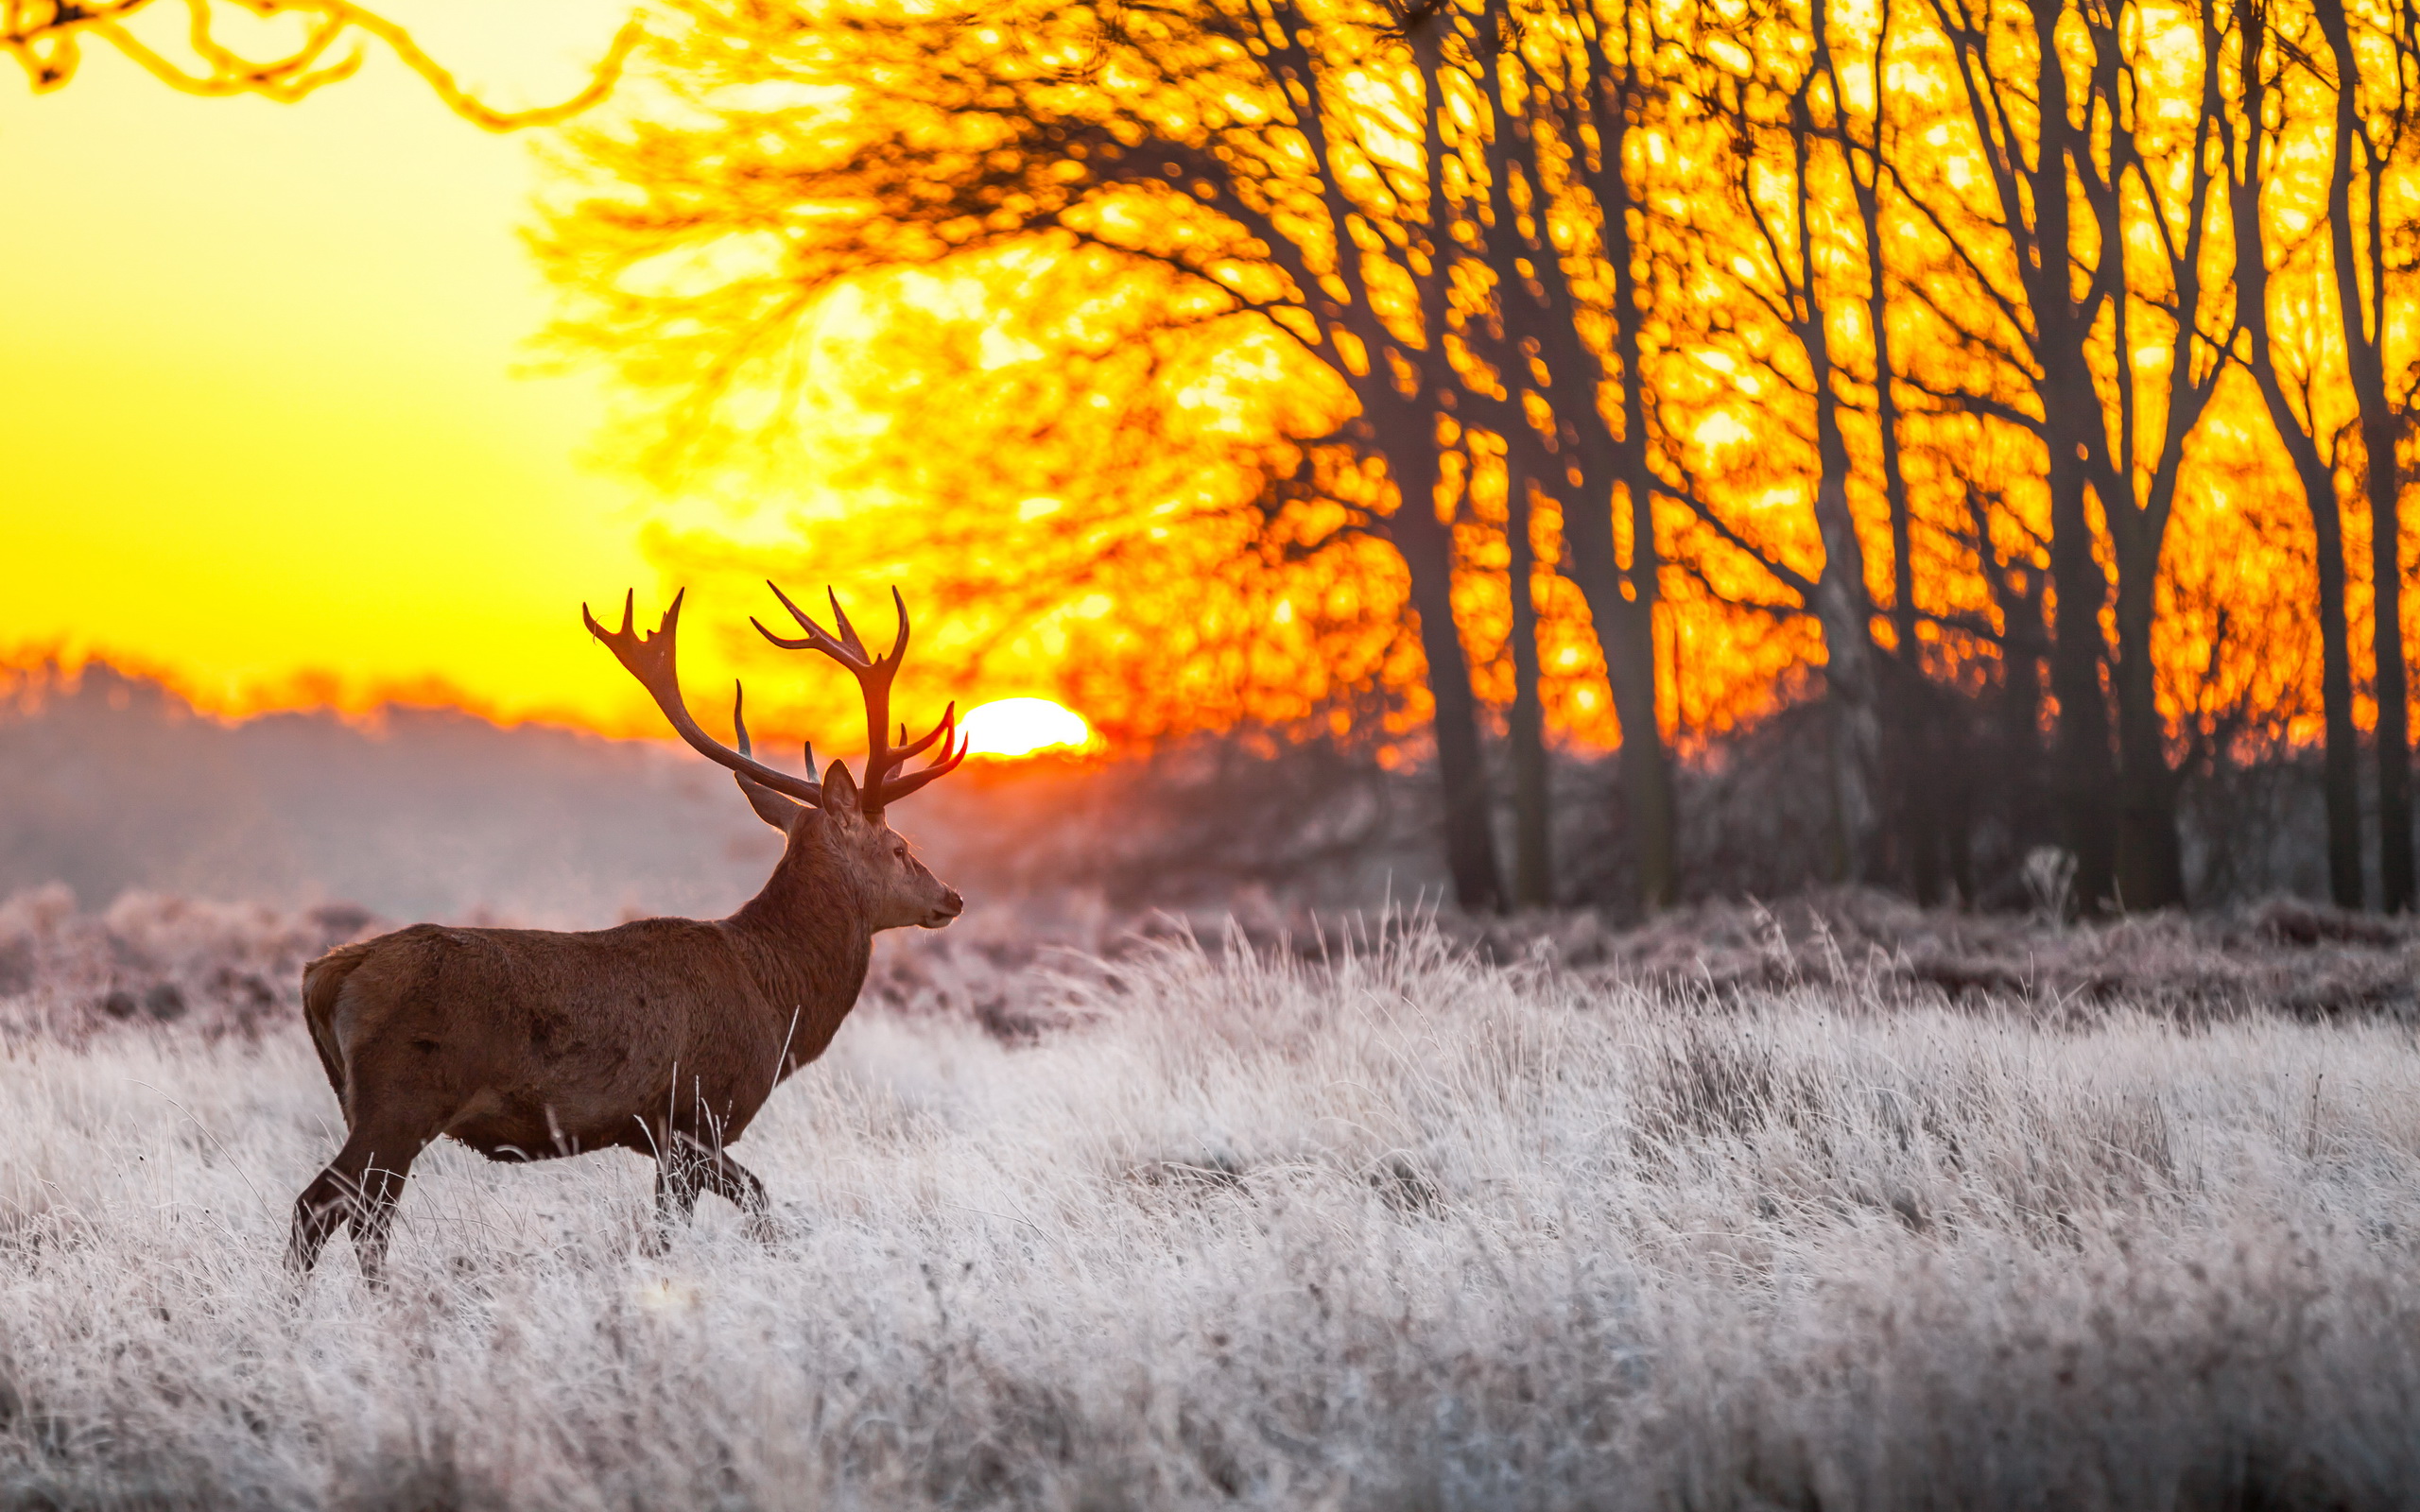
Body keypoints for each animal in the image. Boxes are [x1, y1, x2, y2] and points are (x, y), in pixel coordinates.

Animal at [285, 582, 962, 1277]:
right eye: (900, 847)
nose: (951, 898)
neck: (777, 1000)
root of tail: (325, 973)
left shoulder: (661, 1135)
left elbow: (678, 1225)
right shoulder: (694, 1112)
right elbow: (751, 1201)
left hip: (367, 1102)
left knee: (359, 1214)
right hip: (402, 1097)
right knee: (326, 1209)